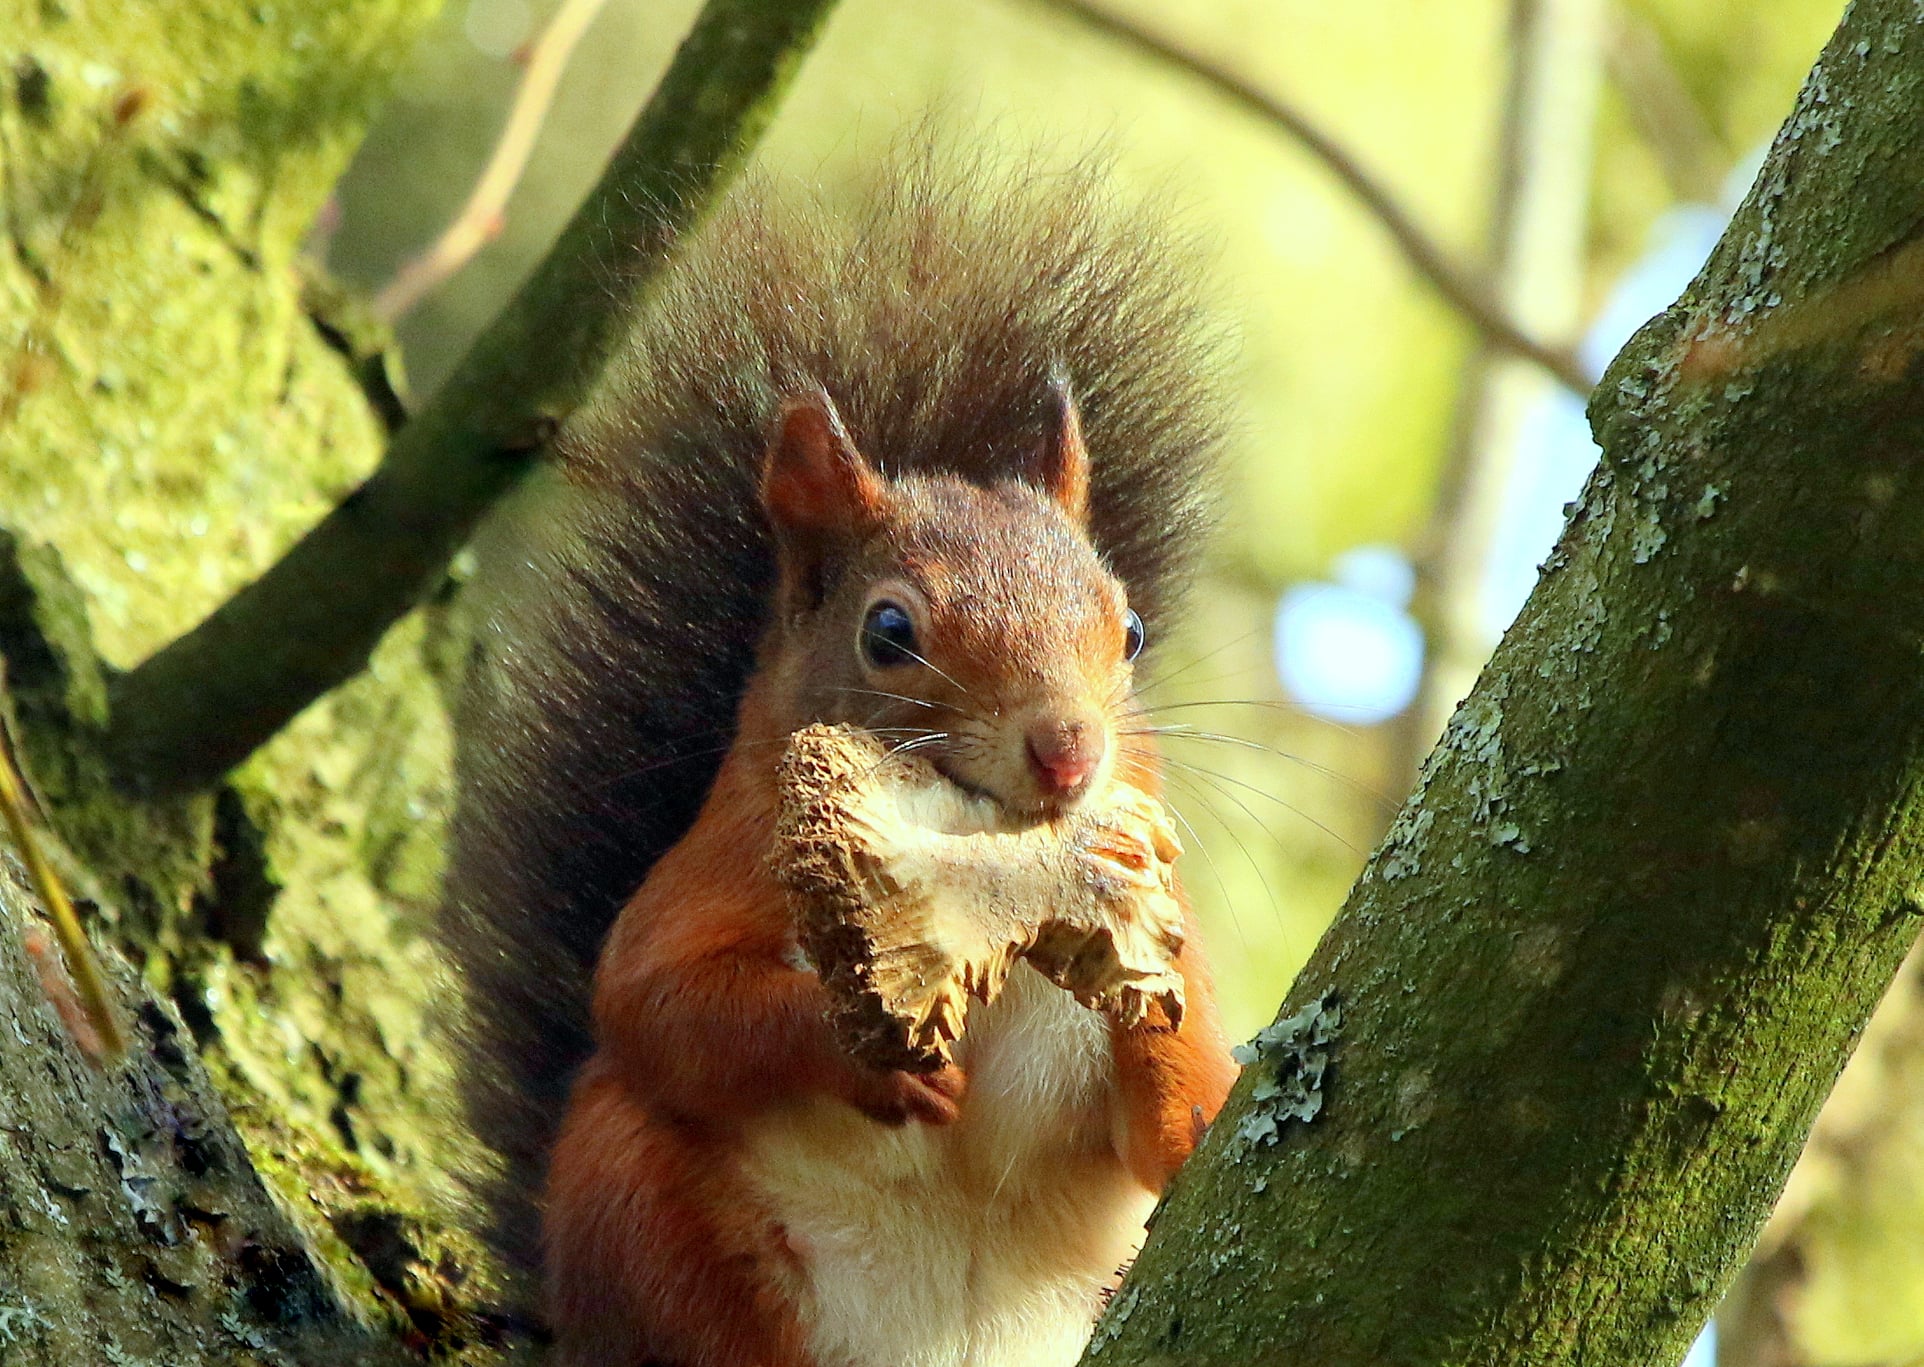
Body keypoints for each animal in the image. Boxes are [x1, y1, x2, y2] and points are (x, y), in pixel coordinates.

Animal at [440, 163, 1231, 1367]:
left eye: (1130, 629)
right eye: (889, 631)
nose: (1068, 751)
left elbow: (1180, 1134)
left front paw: (1158, 1016)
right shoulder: (716, 874)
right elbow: (653, 997)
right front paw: (870, 1054)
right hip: (637, 1205)